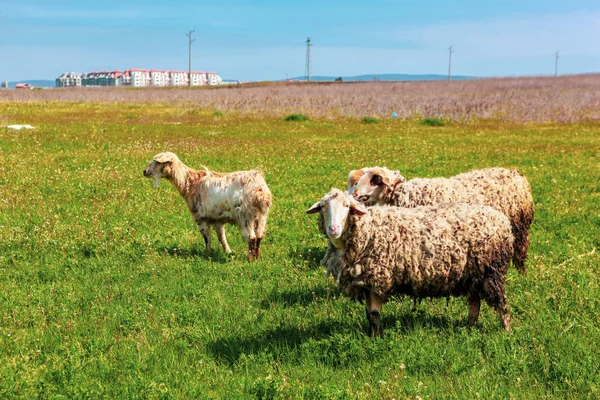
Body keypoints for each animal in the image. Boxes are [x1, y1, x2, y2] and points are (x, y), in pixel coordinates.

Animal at [143, 152, 272, 260]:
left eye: (157, 162)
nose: (144, 171)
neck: (190, 183)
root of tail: (260, 190)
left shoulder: (201, 218)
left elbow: (207, 238)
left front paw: (207, 253)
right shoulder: (217, 219)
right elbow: (222, 237)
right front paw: (228, 252)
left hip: (245, 216)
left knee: (251, 237)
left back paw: (249, 259)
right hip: (261, 216)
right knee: (259, 236)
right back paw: (257, 258)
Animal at [310, 189, 516, 336]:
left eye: (347, 206)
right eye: (323, 207)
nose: (333, 229)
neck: (367, 230)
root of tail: (502, 220)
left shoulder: (379, 278)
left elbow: (375, 315)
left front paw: (377, 339)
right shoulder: (366, 282)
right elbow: (369, 315)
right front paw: (371, 336)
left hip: (492, 270)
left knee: (502, 304)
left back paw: (506, 332)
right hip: (473, 273)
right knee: (474, 302)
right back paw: (469, 327)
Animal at [346, 166, 536, 276]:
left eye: (375, 180)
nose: (354, 195)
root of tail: (517, 174)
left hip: (520, 227)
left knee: (520, 253)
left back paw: (522, 274)